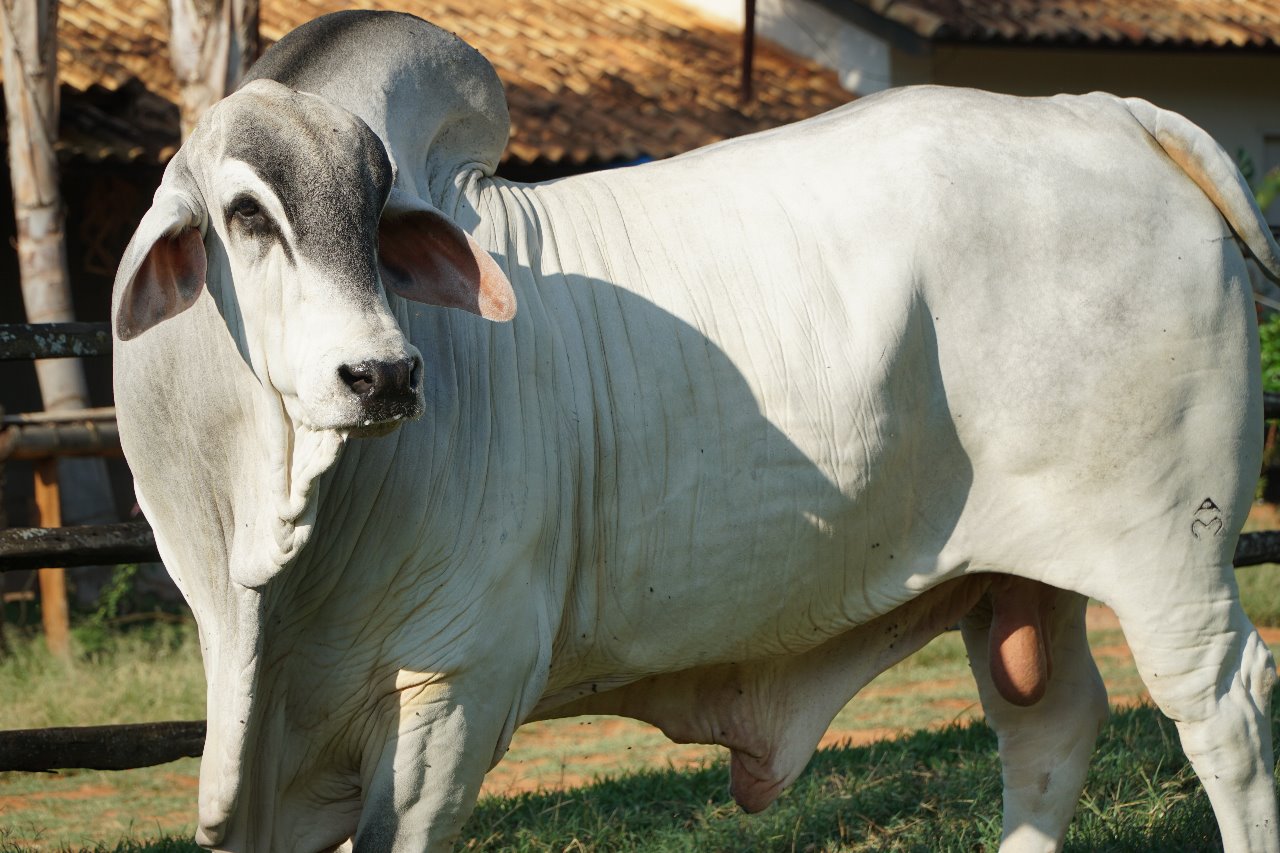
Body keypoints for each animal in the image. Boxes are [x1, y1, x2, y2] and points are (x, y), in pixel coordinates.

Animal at [112, 8, 1280, 850]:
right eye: (246, 214)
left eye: (375, 208)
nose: (384, 373)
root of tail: (1106, 112)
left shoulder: (453, 687)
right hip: (1020, 575)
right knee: (1048, 725)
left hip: (1166, 553)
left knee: (1222, 705)